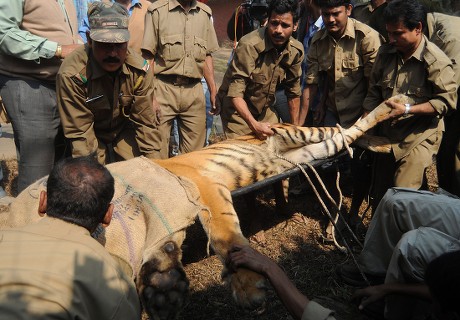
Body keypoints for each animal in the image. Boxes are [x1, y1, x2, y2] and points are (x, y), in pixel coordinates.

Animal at [0, 94, 408, 318]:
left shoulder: (204, 188)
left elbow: (227, 236)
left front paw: (247, 289)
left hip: (298, 131)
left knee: (345, 127)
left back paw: (390, 115)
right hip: (308, 152)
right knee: (346, 134)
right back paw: (382, 139)